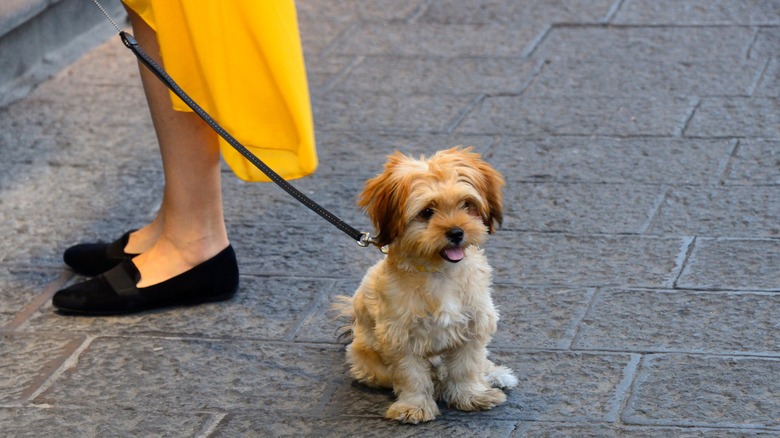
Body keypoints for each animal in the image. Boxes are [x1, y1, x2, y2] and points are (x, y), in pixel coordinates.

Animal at [336, 147, 516, 424]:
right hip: (368, 363)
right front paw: (414, 406)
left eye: (467, 205)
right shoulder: (400, 337)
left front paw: (472, 395)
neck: (439, 272)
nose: (456, 232)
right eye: (427, 212)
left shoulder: (474, 326)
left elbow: (467, 367)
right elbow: (411, 376)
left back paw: (494, 375)